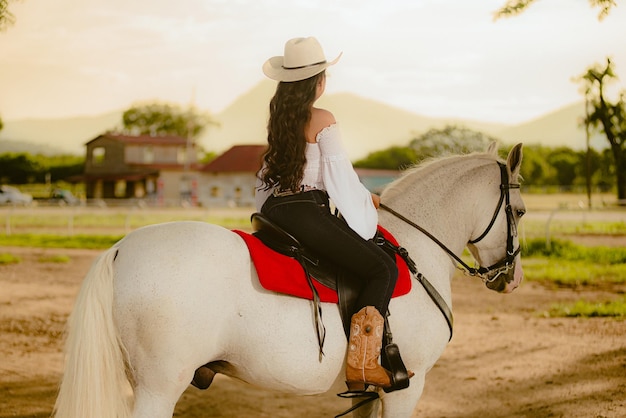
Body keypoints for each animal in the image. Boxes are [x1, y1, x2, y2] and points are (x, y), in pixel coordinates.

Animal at [53, 143, 524, 418]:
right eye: (519, 211)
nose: (511, 279)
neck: (414, 249)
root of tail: (121, 249)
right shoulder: (405, 389)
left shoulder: (364, 394)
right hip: (158, 387)